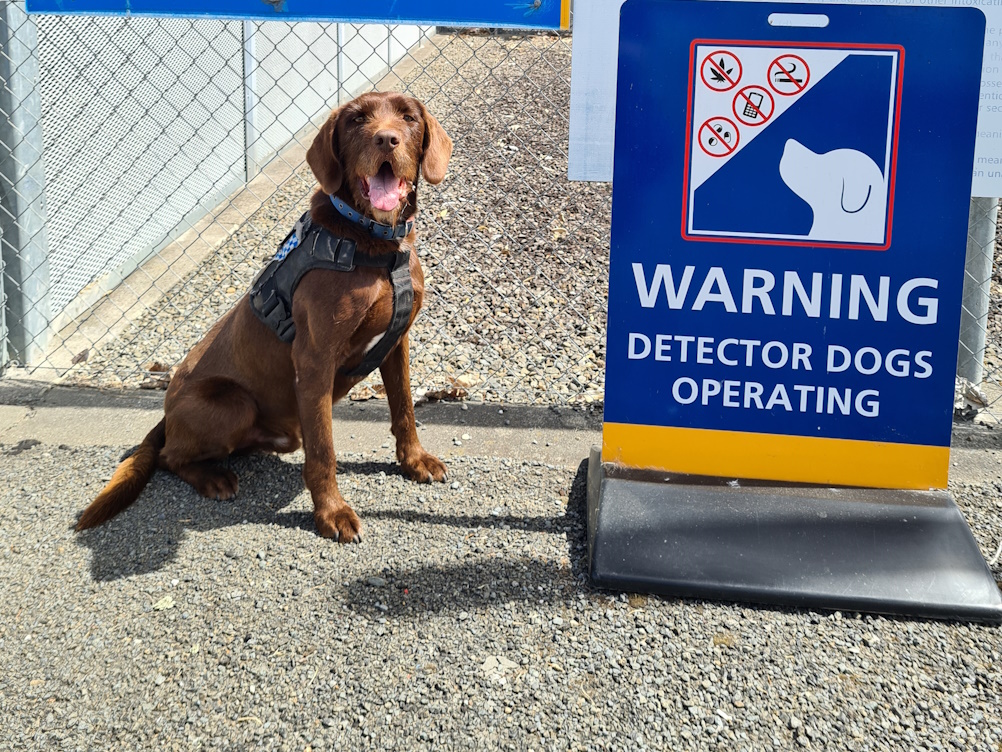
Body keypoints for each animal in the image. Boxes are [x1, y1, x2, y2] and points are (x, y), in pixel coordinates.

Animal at [76, 92, 452, 541]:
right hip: (233, 403)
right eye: (358, 120)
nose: (386, 139)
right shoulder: (314, 361)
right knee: (168, 456)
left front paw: (414, 461)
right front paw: (332, 513)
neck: (374, 243)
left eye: (409, 118)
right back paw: (213, 478)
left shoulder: (397, 342)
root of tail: (165, 416)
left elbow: (404, 409)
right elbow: (323, 449)